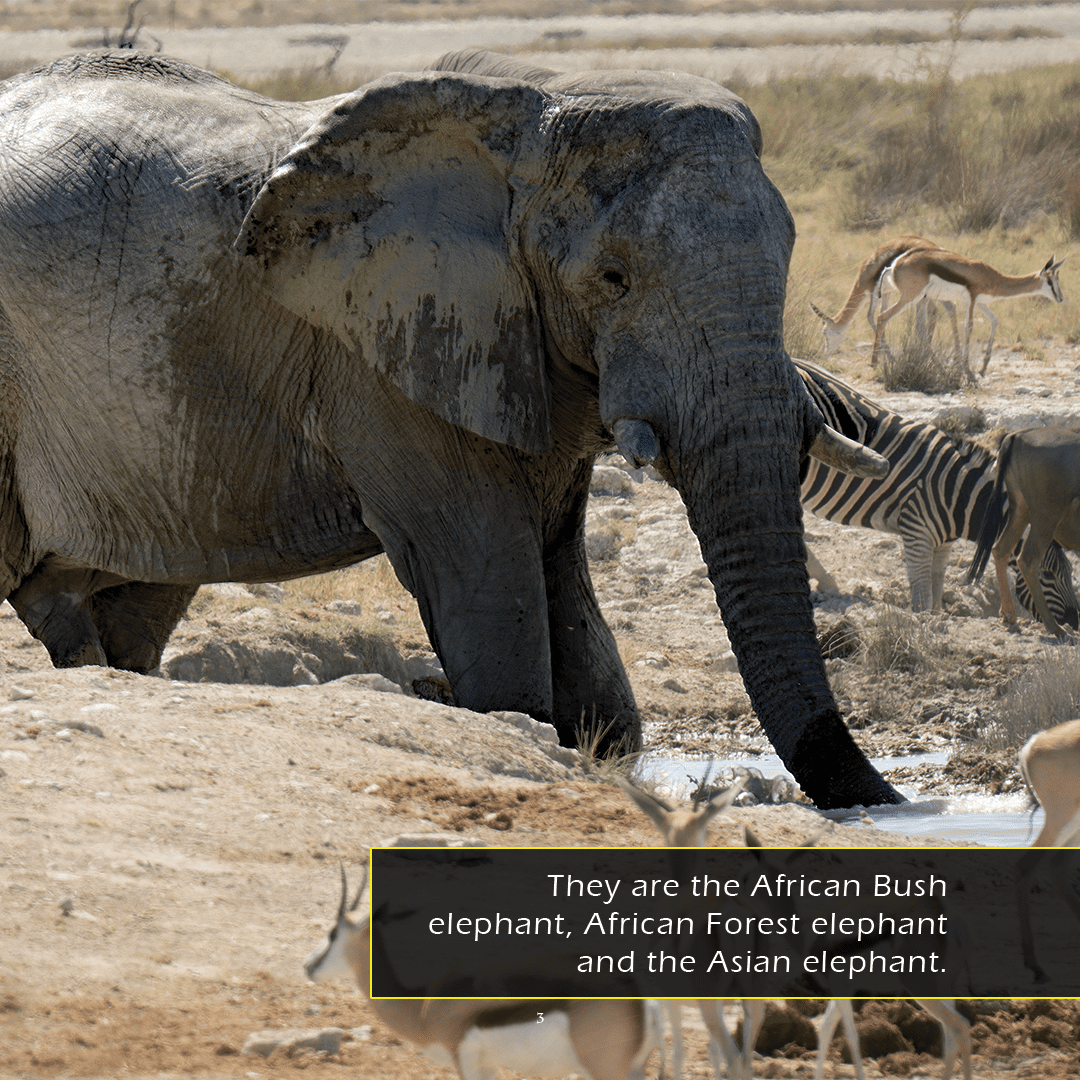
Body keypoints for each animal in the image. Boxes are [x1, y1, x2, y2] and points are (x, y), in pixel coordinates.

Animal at [0, 48, 901, 809]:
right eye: (613, 277)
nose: (890, 805)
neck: (529, 112)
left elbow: (566, 595)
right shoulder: (388, 356)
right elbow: (482, 576)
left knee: (132, 606)